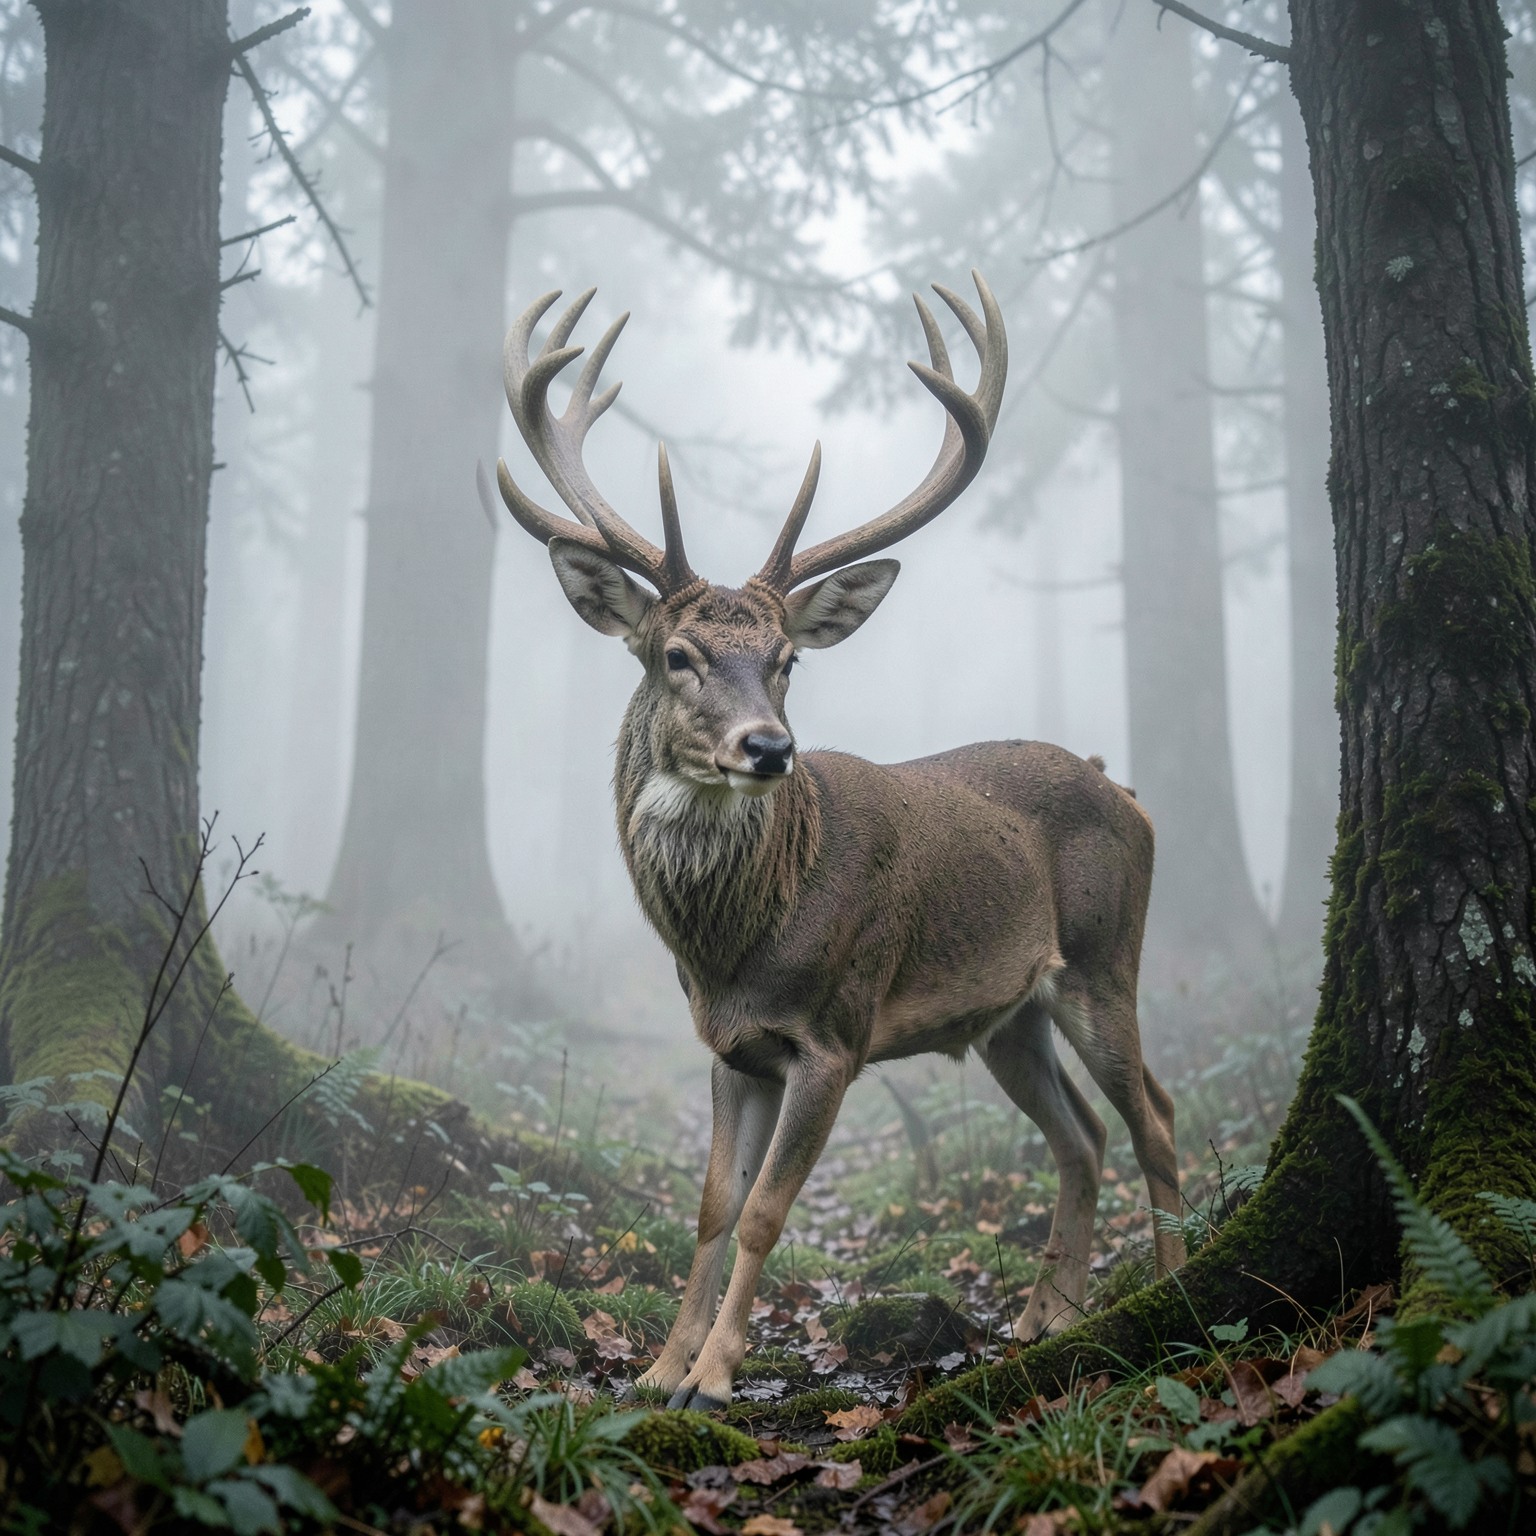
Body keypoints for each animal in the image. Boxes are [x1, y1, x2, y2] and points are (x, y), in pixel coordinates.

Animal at [488, 272, 1185, 1411]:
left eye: (786, 660)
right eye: (676, 655)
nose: (770, 747)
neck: (731, 947)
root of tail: (1127, 793)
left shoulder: (835, 1031)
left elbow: (769, 1211)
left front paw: (715, 1376)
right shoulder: (732, 1048)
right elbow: (713, 1204)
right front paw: (658, 1368)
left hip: (1100, 955)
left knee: (1152, 1116)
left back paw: (1167, 1291)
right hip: (1009, 1014)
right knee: (1080, 1137)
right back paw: (1045, 1315)